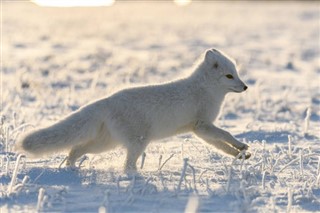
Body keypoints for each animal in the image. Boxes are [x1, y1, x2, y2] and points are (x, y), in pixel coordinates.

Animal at [16, 48, 250, 171]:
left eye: (237, 74)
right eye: (229, 76)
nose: (245, 87)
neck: (204, 89)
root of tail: (107, 100)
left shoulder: (200, 130)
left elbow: (221, 145)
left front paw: (240, 153)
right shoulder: (202, 125)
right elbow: (225, 134)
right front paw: (241, 146)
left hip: (105, 143)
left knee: (75, 149)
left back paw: (71, 170)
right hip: (136, 142)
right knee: (127, 165)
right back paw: (137, 179)